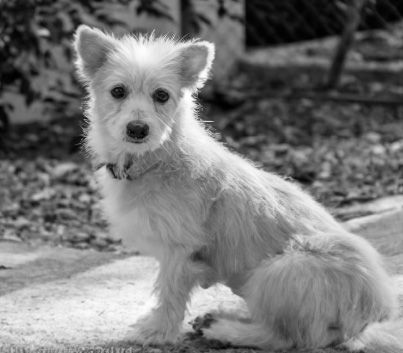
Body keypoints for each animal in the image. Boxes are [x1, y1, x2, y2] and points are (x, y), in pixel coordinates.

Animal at [74, 26, 402, 350]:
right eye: (118, 91)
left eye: (161, 95)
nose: (138, 130)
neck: (156, 160)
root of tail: (374, 315)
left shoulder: (179, 253)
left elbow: (169, 295)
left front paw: (154, 332)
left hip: (280, 271)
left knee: (288, 339)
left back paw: (223, 329)